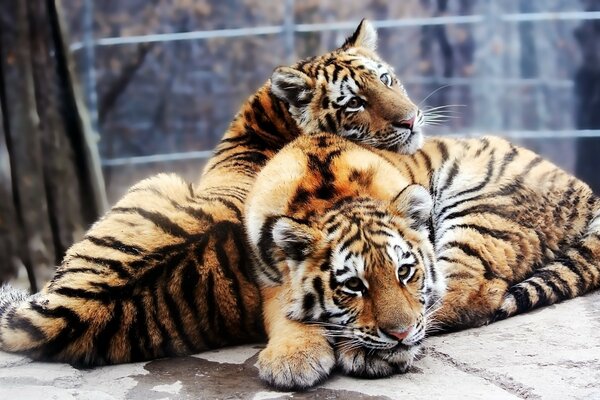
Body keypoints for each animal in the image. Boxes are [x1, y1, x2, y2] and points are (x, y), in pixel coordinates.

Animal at [245, 132, 600, 390]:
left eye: (404, 271)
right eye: (354, 286)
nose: (401, 336)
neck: (327, 197)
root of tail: (584, 189)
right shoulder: (266, 278)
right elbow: (285, 313)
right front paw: (292, 360)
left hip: (479, 210)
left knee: (469, 295)